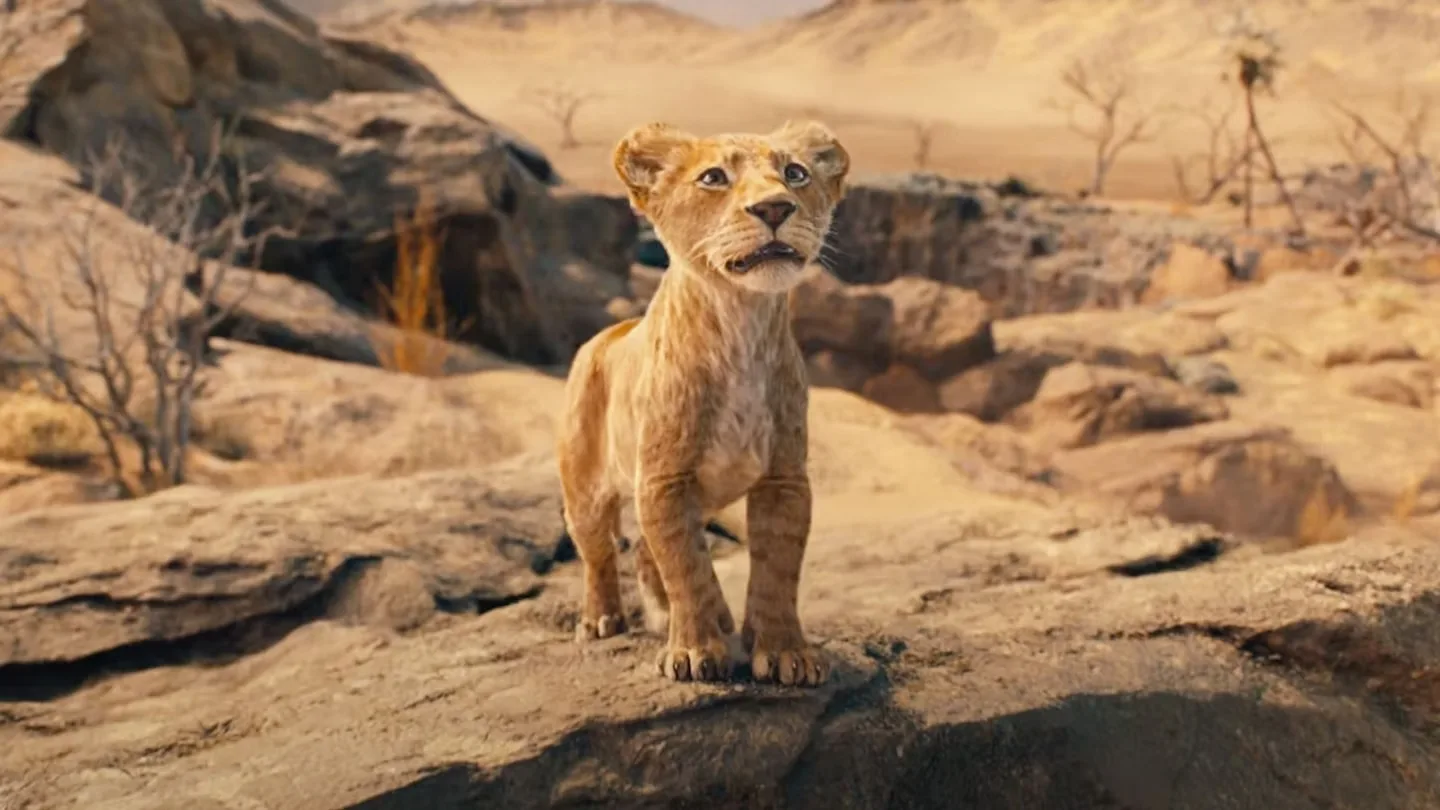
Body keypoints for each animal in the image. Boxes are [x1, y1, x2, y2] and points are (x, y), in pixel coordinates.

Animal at [556, 119, 850, 687]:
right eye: (714, 177)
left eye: (795, 173)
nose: (775, 208)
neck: (740, 322)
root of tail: (606, 334)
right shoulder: (665, 479)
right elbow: (686, 566)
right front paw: (693, 652)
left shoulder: (784, 478)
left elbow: (777, 569)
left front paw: (783, 652)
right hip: (585, 490)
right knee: (600, 554)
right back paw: (602, 619)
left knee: (647, 553)